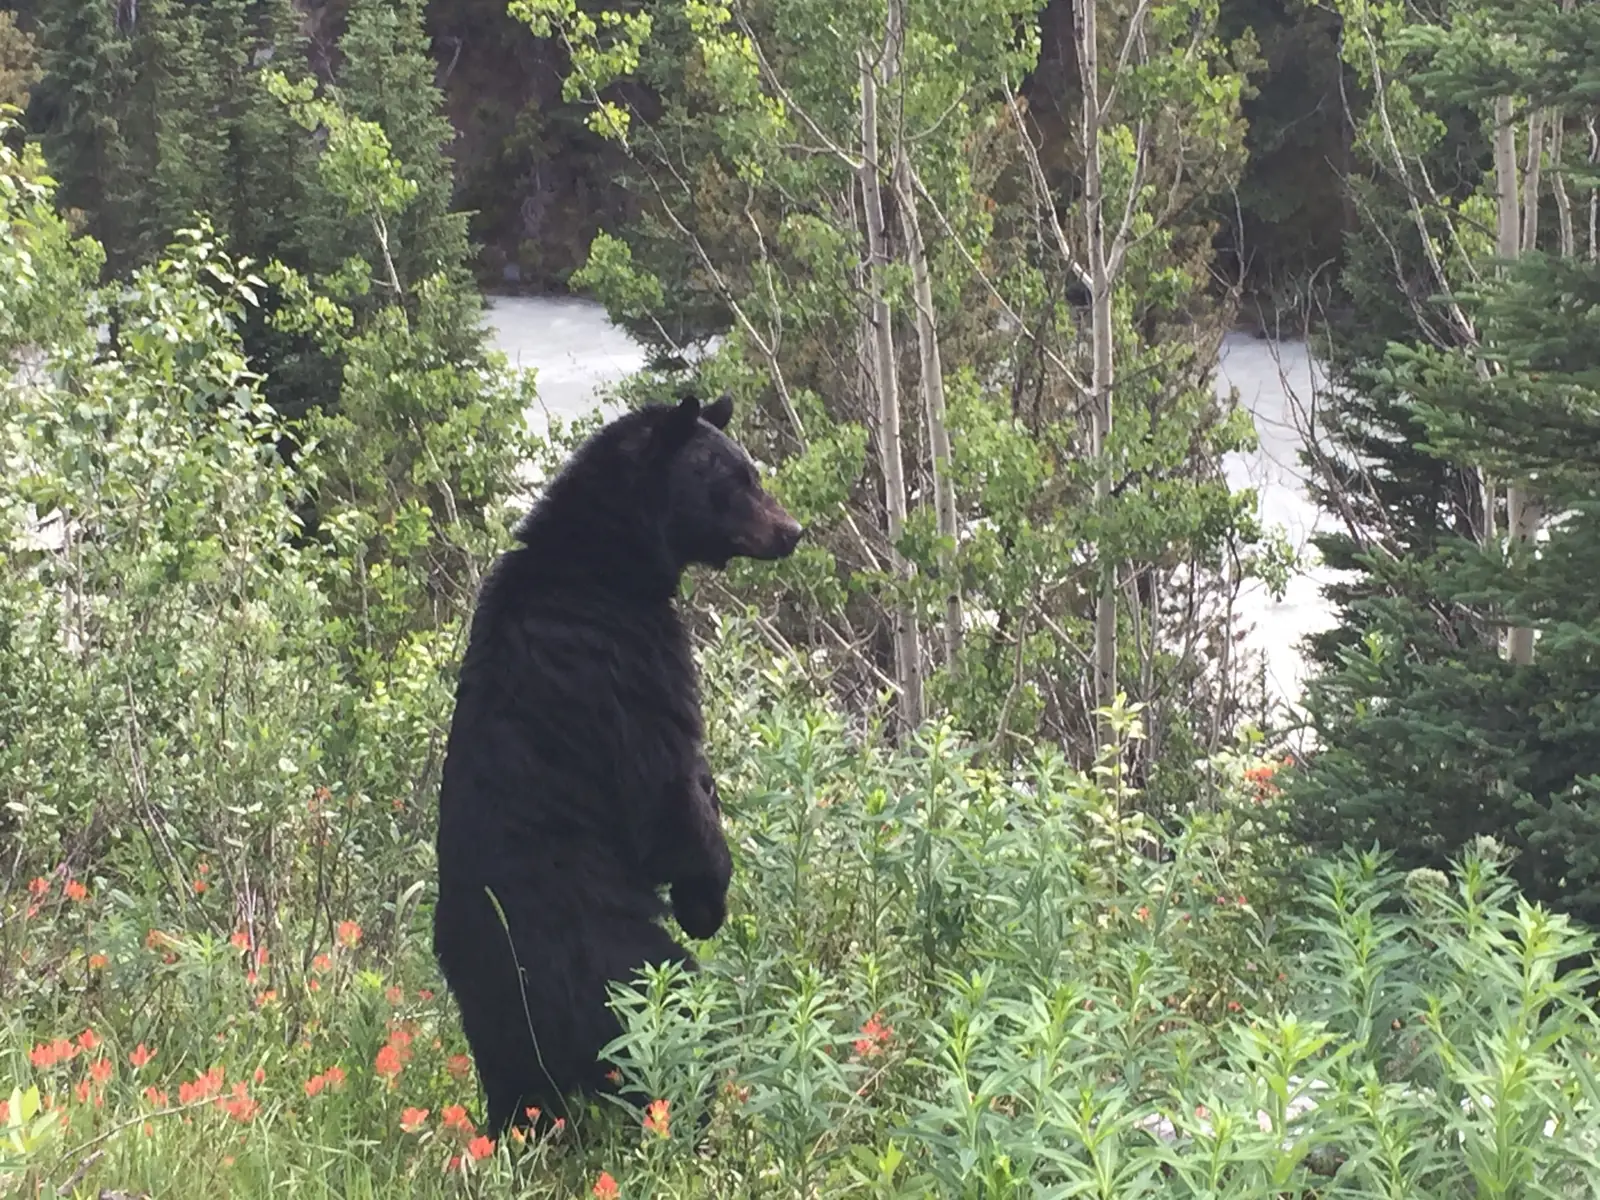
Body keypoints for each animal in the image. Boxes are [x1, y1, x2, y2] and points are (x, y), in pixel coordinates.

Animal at [432, 392, 803, 1139]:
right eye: (736, 480)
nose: (793, 531)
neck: (602, 564)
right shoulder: (626, 669)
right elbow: (668, 791)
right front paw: (706, 895)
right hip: (620, 964)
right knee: (674, 1025)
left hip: (502, 1043)